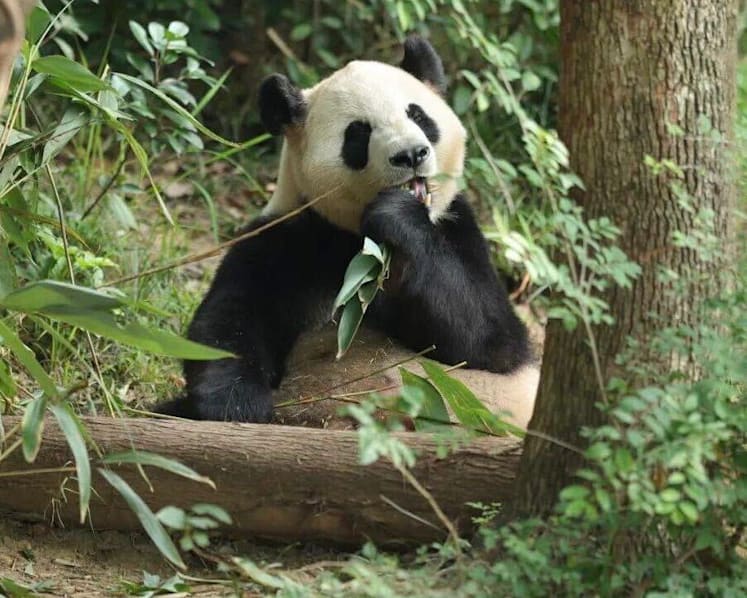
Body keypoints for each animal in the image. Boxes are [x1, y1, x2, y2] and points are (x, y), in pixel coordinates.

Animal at [158, 36, 536, 423]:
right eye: (358, 132)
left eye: (418, 115)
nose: (411, 154)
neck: (357, 237)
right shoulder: (287, 237)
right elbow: (227, 324)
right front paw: (238, 406)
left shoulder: (456, 226)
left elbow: (490, 340)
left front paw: (398, 216)